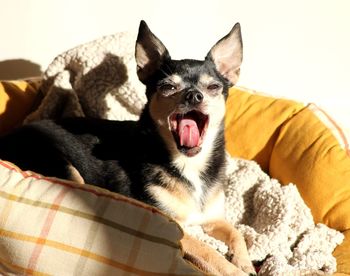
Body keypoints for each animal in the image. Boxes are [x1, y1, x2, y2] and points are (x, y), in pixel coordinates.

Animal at [0, 20, 254, 274]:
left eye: (214, 87)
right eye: (168, 87)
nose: (194, 95)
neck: (189, 164)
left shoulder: (212, 219)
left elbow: (236, 233)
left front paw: (245, 262)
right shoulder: (175, 227)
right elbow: (209, 251)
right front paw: (234, 270)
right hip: (64, 168)